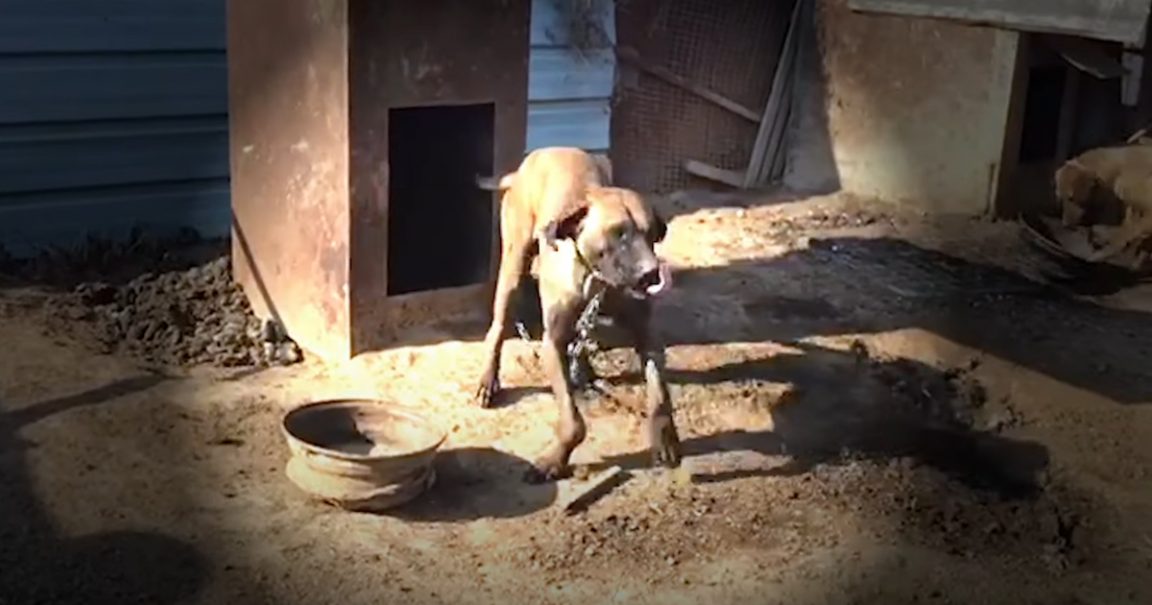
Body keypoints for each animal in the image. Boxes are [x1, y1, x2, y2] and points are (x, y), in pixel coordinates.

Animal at [474, 146, 677, 481]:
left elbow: (659, 393)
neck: (595, 280)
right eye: (618, 233)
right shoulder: (552, 343)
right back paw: (488, 379)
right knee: (498, 327)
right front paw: (554, 460)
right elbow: (574, 422)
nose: (651, 274)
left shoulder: (648, 336)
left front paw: (665, 437)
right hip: (513, 269)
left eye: (651, 235)